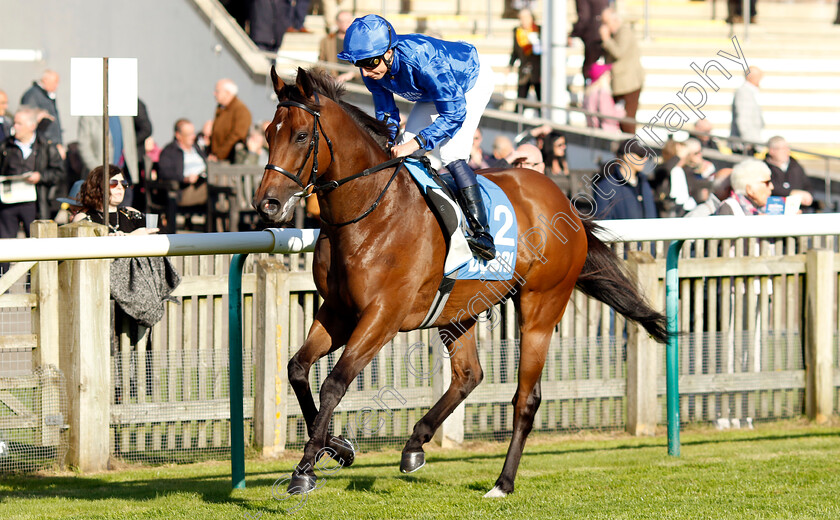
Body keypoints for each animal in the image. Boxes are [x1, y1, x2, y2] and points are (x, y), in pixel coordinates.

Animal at [253, 67, 668, 498]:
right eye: (268, 133)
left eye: (302, 135)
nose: (267, 203)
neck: (370, 212)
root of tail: (563, 202)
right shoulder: (338, 310)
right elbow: (297, 369)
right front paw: (337, 447)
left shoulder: (382, 316)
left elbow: (334, 383)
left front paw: (305, 469)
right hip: (460, 309)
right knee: (469, 375)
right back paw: (415, 445)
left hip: (541, 307)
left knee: (526, 398)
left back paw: (502, 482)